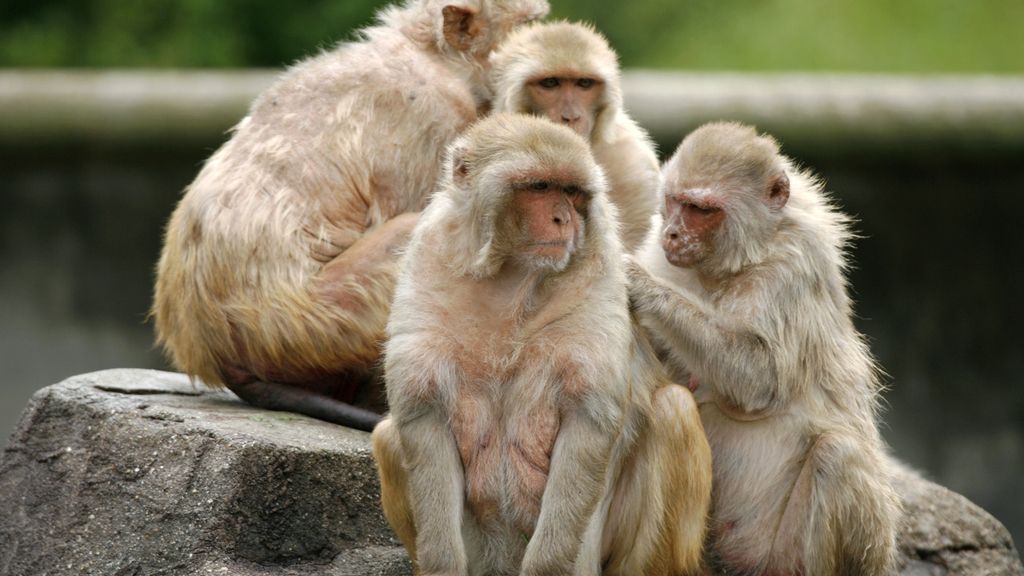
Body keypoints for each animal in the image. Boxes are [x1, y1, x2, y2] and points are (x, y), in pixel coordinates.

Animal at [371, 113, 712, 576]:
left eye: (571, 191)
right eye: (539, 187)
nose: (563, 219)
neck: (509, 277)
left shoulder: (601, 273)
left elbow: (589, 420)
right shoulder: (427, 265)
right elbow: (422, 413)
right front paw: (441, 564)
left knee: (672, 409)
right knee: (388, 436)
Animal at [626, 121, 901, 575]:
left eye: (700, 209)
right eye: (674, 201)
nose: (672, 233)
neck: (735, 265)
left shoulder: (792, 270)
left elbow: (760, 380)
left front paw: (641, 286)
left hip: (806, 553)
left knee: (837, 456)